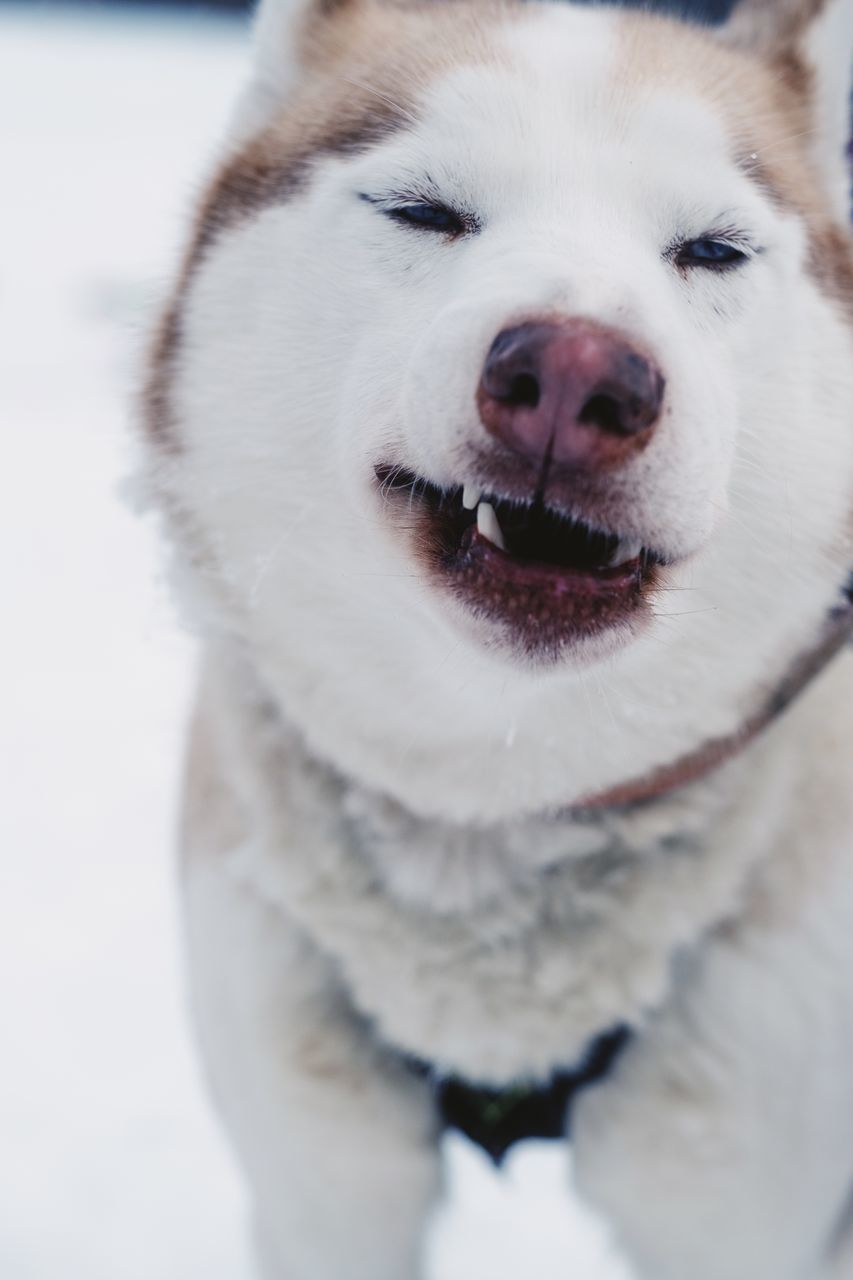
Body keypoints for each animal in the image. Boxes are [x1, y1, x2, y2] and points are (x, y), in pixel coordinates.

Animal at [142, 0, 850, 1274]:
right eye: (422, 209)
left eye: (713, 250)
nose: (573, 374)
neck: (500, 790)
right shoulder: (325, 1183)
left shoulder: (742, 1198)